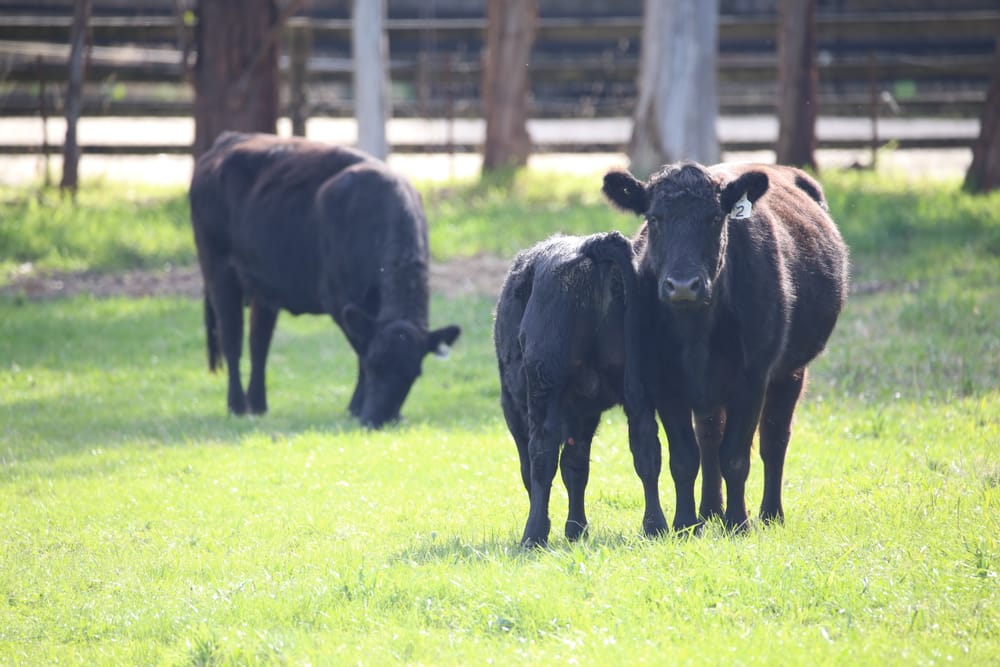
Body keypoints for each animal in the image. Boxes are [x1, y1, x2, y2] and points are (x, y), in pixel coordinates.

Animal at [189, 132, 461, 428]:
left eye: (413, 374)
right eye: (375, 365)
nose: (377, 418)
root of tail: (227, 140)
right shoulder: (340, 302)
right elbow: (360, 349)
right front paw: (356, 407)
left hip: (264, 286)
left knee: (259, 342)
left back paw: (258, 405)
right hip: (218, 269)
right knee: (232, 339)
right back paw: (237, 406)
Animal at [494, 231, 667, 547]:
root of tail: (595, 244)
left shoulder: (513, 407)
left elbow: (536, 468)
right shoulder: (584, 412)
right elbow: (576, 467)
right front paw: (576, 528)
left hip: (543, 384)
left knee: (541, 454)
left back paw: (533, 534)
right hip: (640, 388)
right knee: (646, 448)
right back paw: (655, 526)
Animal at [602, 162, 849, 532]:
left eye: (715, 218)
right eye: (655, 218)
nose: (683, 285)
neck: (696, 330)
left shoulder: (753, 378)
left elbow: (735, 456)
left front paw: (737, 522)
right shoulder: (664, 382)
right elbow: (685, 457)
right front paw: (685, 523)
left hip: (791, 372)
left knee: (774, 439)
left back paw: (770, 514)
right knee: (709, 438)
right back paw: (708, 511)